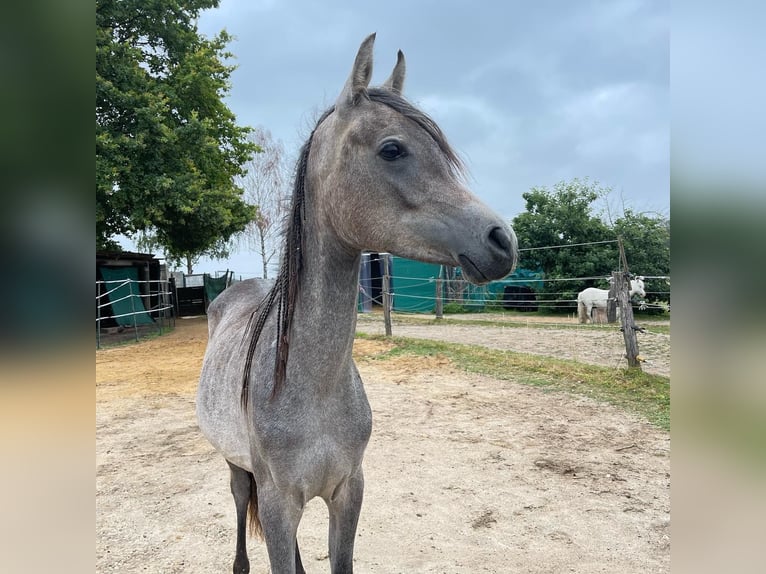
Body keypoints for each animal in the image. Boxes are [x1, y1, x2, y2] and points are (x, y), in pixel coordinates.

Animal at [198, 33, 520, 572]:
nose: (502, 241)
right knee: (241, 501)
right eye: (392, 149)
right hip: (238, 468)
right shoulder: (279, 503)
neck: (308, 386)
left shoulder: (348, 491)